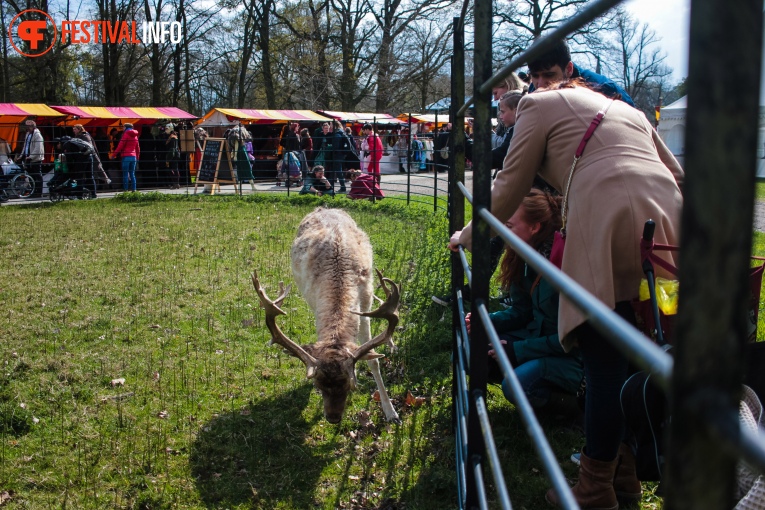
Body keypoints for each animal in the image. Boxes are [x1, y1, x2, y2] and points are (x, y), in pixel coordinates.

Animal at [254, 207, 402, 422]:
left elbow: (373, 360)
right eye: (318, 384)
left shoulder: (365, 305)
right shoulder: (315, 304)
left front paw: (391, 412)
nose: (333, 418)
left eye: (350, 383)